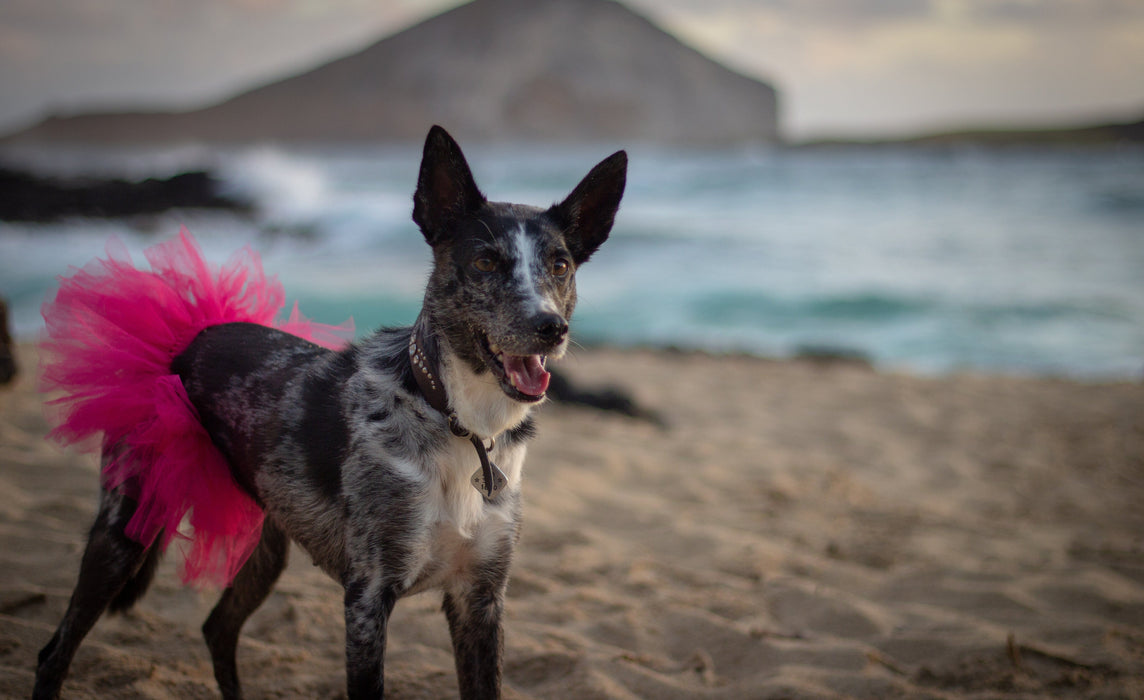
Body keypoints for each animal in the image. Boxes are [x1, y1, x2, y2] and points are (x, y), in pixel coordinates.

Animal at [33, 126, 626, 700]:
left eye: (560, 266)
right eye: (485, 261)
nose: (551, 328)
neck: (459, 422)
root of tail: (187, 340)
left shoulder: (480, 599)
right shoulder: (368, 598)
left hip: (266, 544)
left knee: (217, 627)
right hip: (125, 528)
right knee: (55, 650)